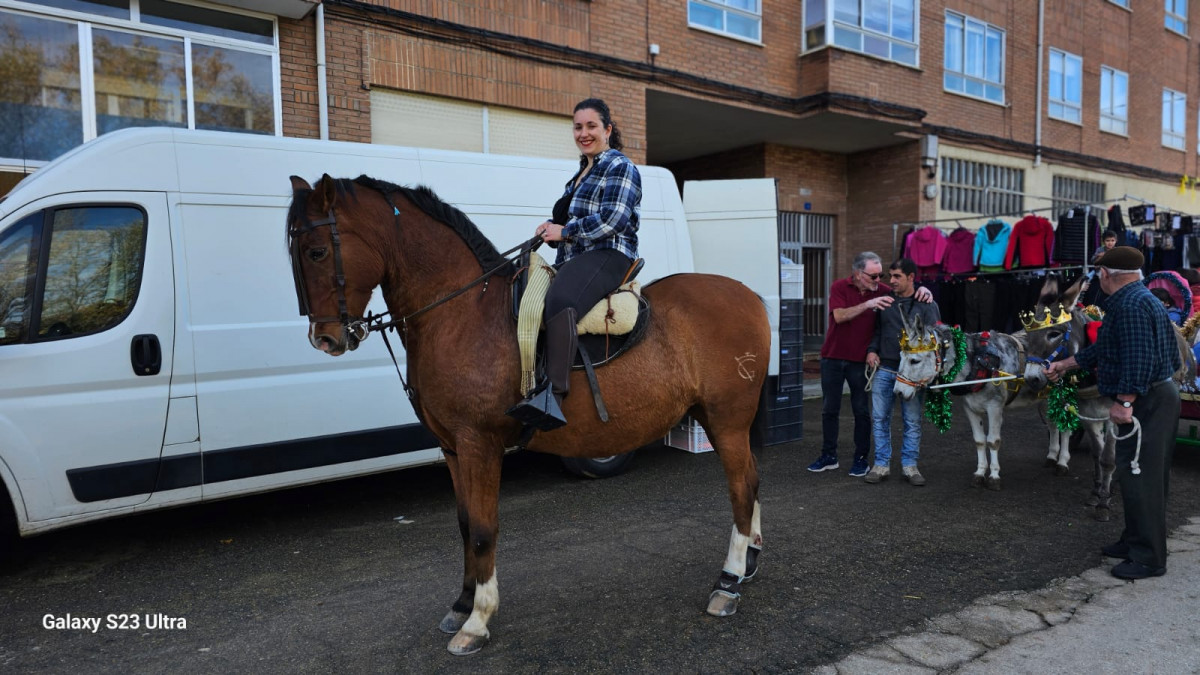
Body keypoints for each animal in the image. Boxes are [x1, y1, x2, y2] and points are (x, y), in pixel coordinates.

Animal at [285, 171, 763, 653]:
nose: (324, 339)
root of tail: (750, 295)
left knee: (741, 488)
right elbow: (464, 525)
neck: (462, 311)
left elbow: (483, 529)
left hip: (726, 420)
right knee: (753, 480)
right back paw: (750, 561)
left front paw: (477, 620)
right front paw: (461, 604)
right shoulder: (452, 448)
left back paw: (728, 584)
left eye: (317, 251)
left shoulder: (479, 444)